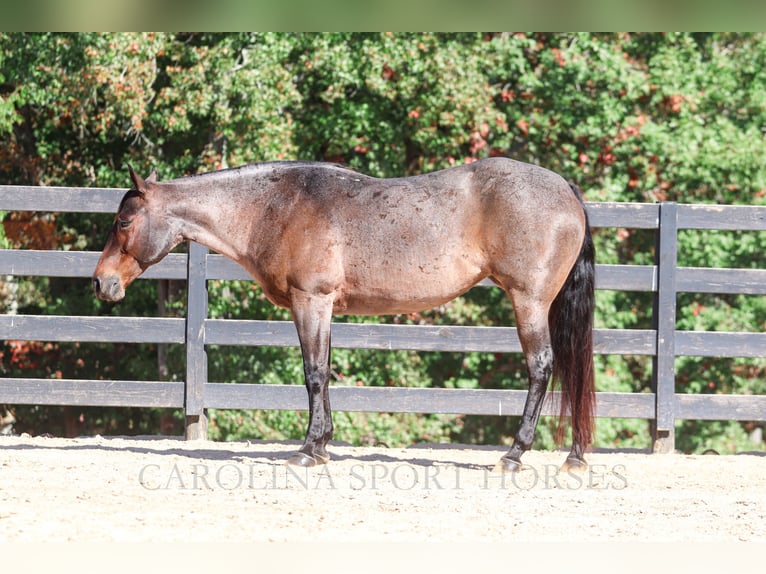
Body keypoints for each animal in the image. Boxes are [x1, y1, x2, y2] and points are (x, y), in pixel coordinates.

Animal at [94, 159, 600, 476]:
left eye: (123, 222)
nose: (101, 283)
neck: (274, 208)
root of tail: (566, 191)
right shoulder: (326, 307)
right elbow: (326, 372)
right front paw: (322, 446)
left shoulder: (311, 301)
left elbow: (313, 374)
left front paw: (306, 450)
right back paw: (575, 456)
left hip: (528, 301)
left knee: (542, 368)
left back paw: (514, 455)